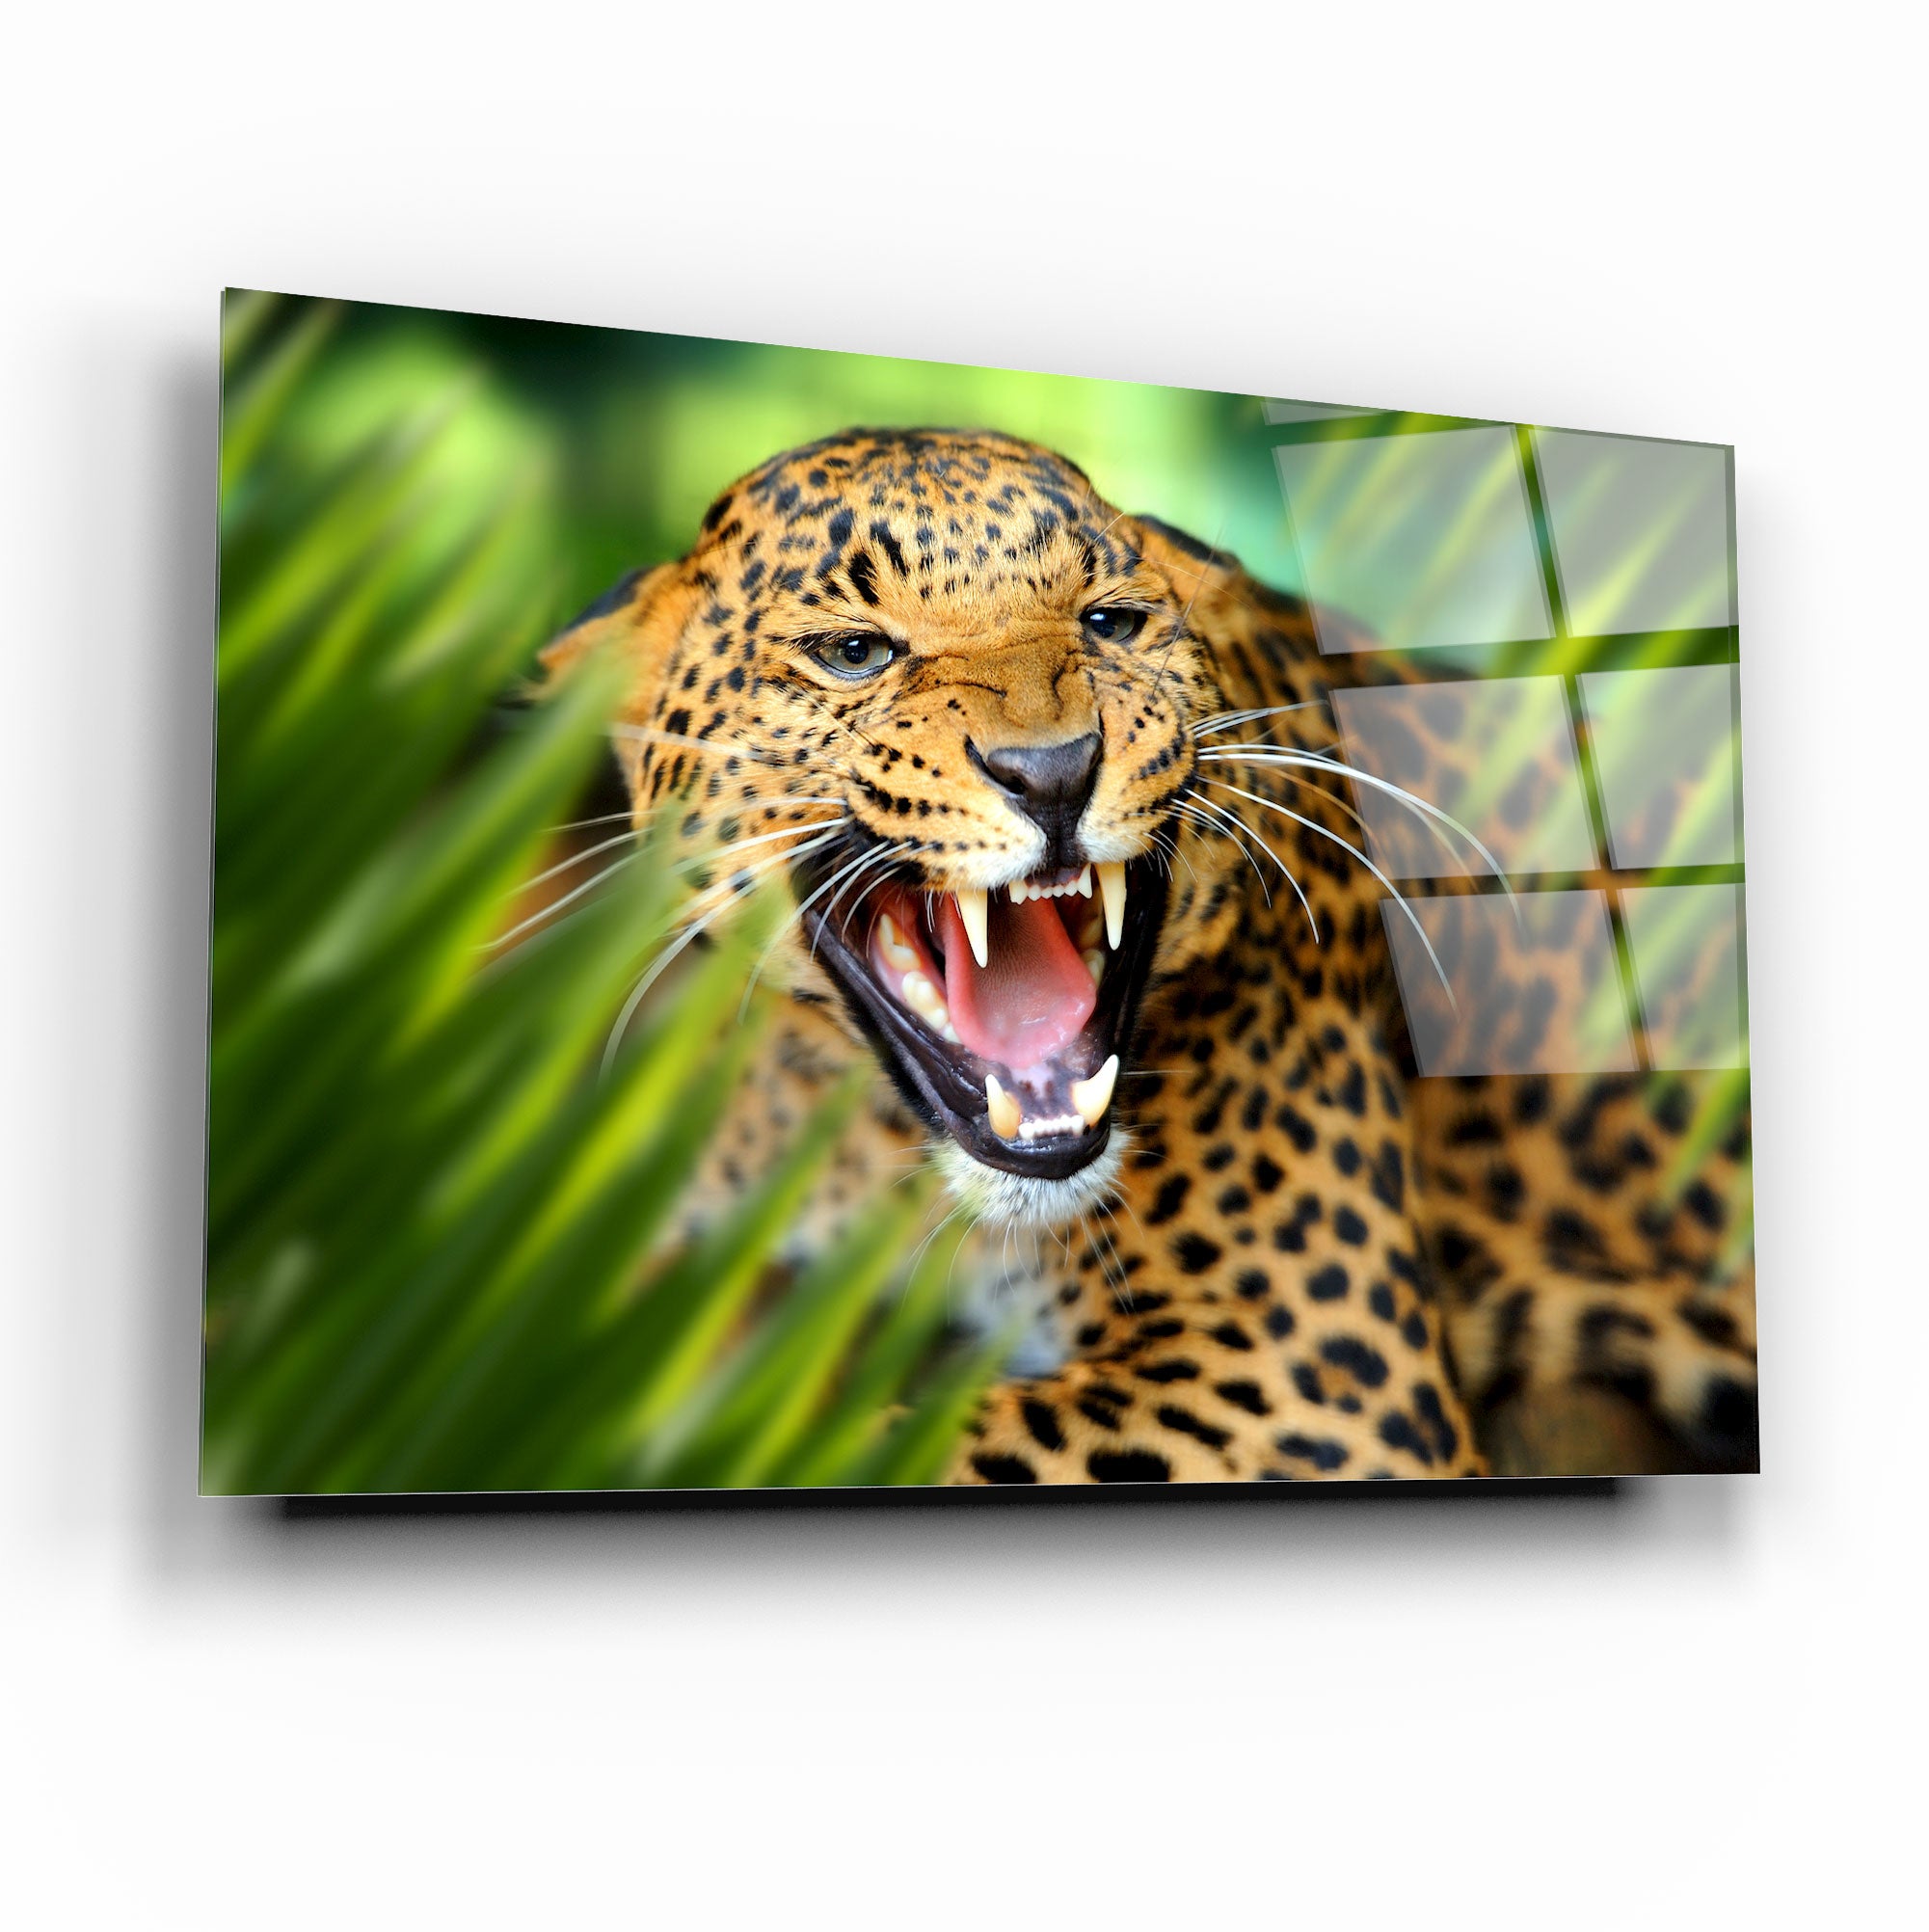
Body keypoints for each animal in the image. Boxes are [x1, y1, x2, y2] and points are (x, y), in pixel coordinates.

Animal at [542, 426, 1758, 1483]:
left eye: (1113, 623)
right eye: (854, 653)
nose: (1051, 771)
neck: (879, 1152)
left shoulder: (1314, 1378)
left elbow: (907, 1441)